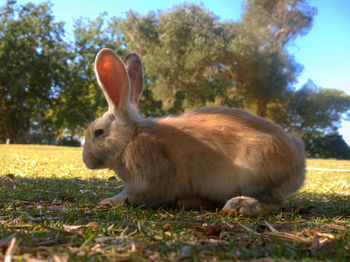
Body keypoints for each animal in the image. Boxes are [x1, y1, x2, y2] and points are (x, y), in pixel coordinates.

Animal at [82, 48, 306, 216]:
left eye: (98, 132)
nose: (86, 160)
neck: (130, 137)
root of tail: (299, 163)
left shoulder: (147, 179)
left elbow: (132, 195)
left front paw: (108, 201)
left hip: (257, 169)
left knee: (273, 203)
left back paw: (239, 206)